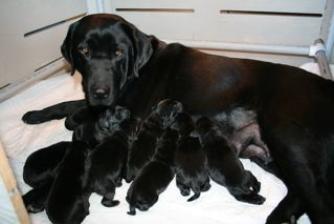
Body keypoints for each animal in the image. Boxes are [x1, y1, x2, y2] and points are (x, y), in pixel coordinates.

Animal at [22, 13, 334, 222]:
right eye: (84, 50)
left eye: (118, 52)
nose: (100, 91)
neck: (136, 71)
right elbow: (70, 105)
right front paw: (36, 114)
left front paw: (36, 195)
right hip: (267, 154)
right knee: (298, 193)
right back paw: (280, 216)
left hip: (288, 140)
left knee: (319, 202)